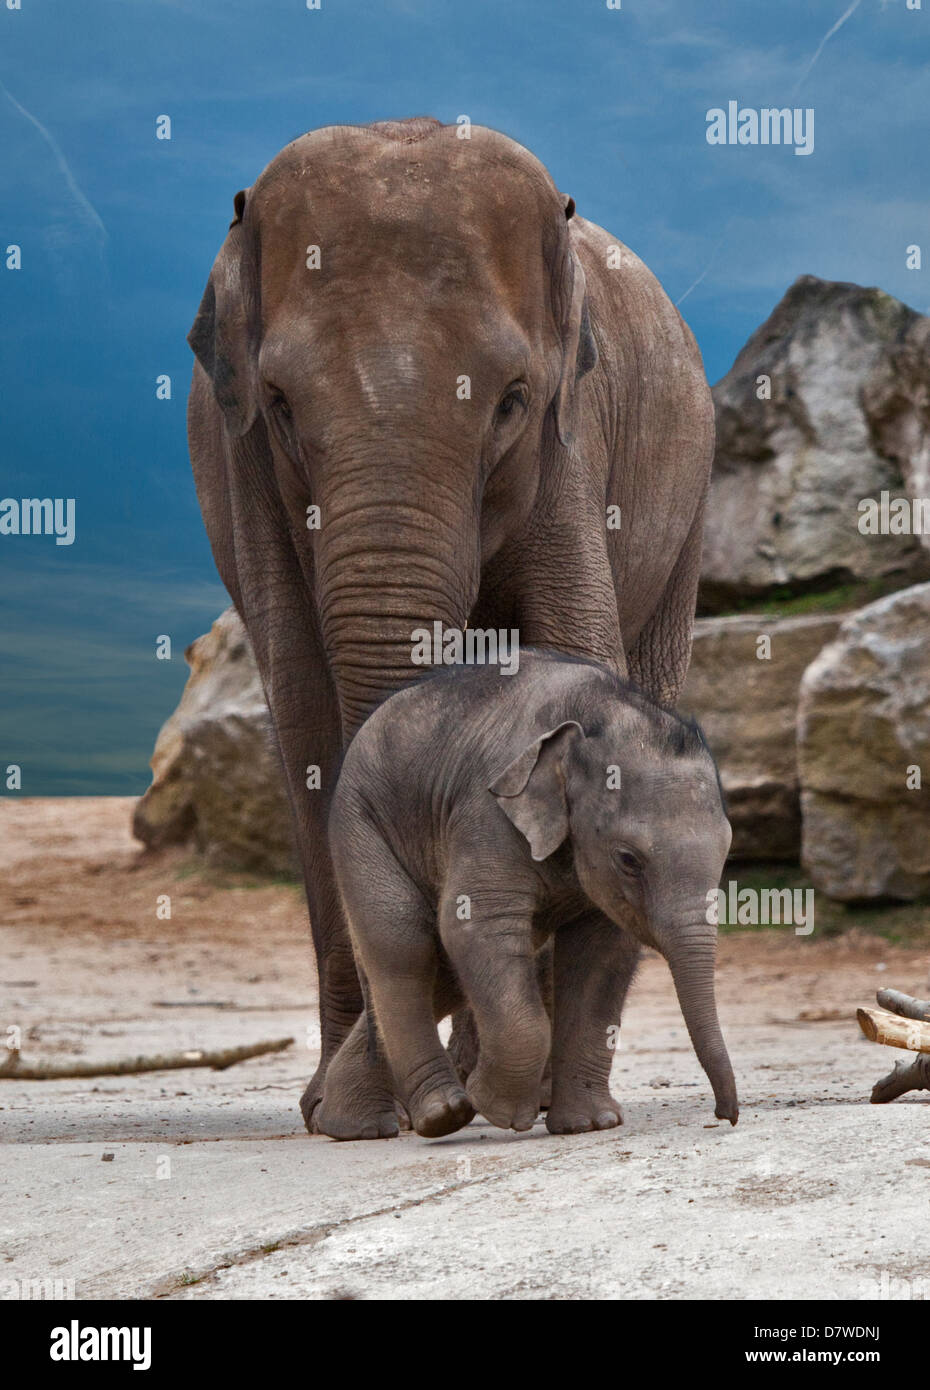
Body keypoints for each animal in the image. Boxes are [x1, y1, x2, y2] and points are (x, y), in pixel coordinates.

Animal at [315, 650, 733, 1139]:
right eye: (629, 859)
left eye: (728, 849)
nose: (725, 1116)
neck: (595, 716)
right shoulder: (487, 812)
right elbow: (474, 924)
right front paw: (496, 1110)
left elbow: (599, 955)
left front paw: (589, 1124)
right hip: (359, 823)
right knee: (404, 944)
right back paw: (441, 1114)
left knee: (443, 968)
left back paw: (348, 1122)